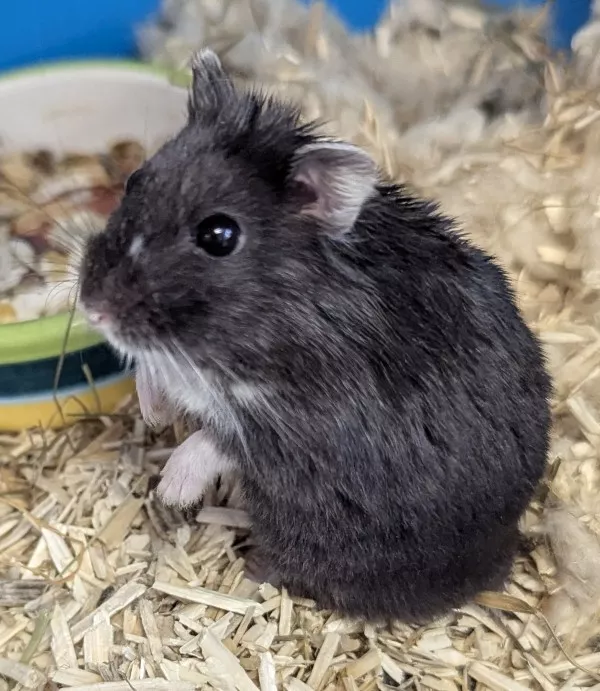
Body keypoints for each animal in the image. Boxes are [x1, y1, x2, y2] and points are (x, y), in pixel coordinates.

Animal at [79, 49, 551, 623]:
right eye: (134, 181)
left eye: (219, 235)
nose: (92, 309)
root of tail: (503, 560)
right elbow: (153, 371)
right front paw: (153, 415)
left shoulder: (307, 435)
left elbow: (216, 441)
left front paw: (172, 490)